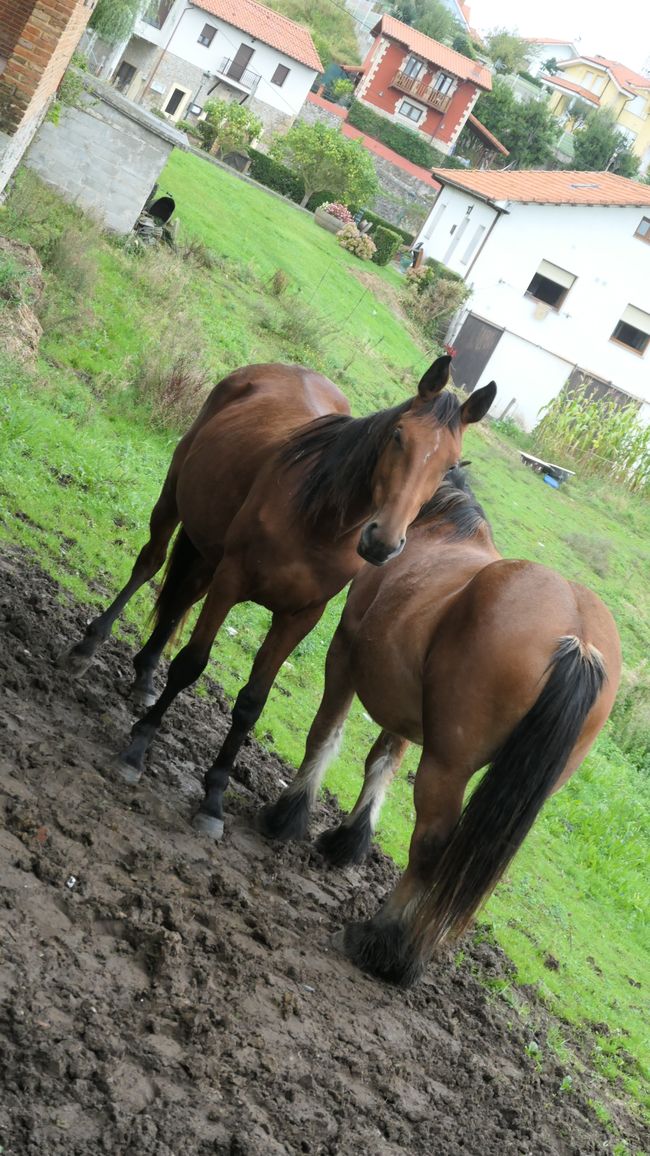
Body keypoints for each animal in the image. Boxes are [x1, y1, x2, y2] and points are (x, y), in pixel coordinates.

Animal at [63, 356, 492, 836]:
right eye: (399, 435)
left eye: (449, 464)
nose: (383, 542)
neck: (319, 519)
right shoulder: (231, 581)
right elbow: (191, 665)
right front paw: (138, 749)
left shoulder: (299, 617)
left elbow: (252, 704)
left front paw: (214, 798)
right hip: (175, 499)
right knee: (149, 564)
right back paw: (88, 648)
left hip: (208, 548)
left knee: (181, 597)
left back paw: (145, 677)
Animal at [257, 464, 615, 980]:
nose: (374, 540)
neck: (440, 525)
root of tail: (578, 638)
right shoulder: (409, 713)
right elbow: (381, 761)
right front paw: (348, 840)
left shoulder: (342, 653)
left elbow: (324, 735)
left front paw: (287, 815)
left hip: (446, 766)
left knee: (431, 847)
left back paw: (381, 944)